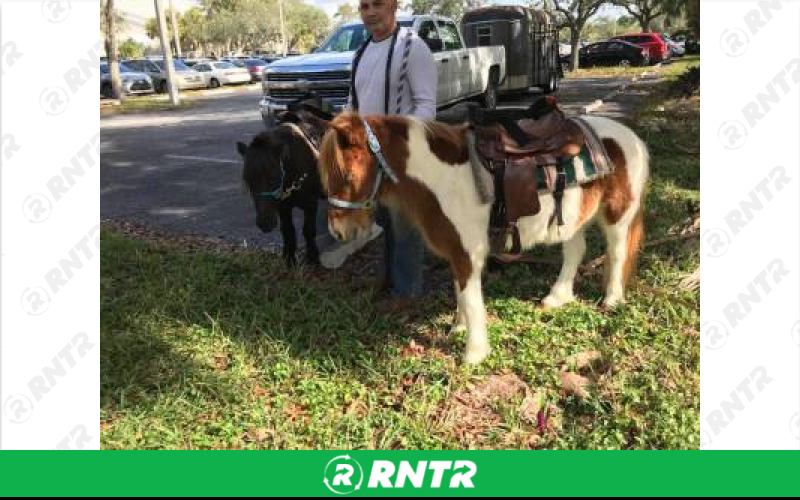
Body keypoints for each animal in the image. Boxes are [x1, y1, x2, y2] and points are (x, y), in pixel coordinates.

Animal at [237, 102, 330, 267]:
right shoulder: (282, 206)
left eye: (274, 175)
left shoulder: (311, 203)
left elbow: (308, 230)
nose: (265, 223)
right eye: (246, 180)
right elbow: (287, 230)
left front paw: (313, 257)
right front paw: (289, 258)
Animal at [316, 106, 649, 364]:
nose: (339, 230)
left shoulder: (469, 252)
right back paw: (557, 297)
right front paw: (458, 328)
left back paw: (612, 299)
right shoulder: (456, 250)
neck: (444, 178)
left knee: (616, 252)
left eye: (347, 176)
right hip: (571, 217)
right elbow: (460, 291)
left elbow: (470, 296)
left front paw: (473, 354)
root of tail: (632, 138)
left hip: (618, 215)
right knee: (575, 251)